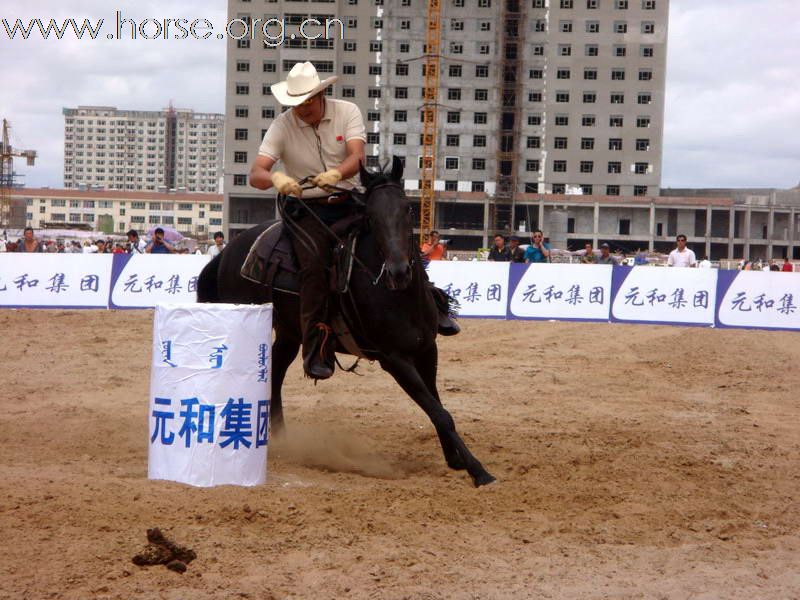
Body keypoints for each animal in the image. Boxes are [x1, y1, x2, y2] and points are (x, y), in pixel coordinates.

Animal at [196, 159, 494, 488]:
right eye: (371, 217)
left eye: (408, 209)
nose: (398, 271)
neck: (399, 297)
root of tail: (228, 252)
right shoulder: (395, 359)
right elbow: (439, 412)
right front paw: (478, 470)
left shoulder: (427, 349)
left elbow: (439, 406)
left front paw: (455, 458)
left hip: (290, 333)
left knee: (275, 370)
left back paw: (282, 440)